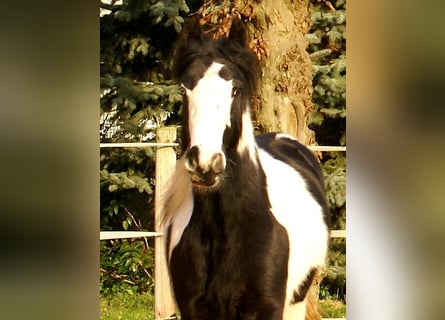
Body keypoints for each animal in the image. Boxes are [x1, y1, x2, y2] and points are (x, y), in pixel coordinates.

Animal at [160, 18, 330, 320]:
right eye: (184, 88)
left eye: (235, 90)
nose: (205, 163)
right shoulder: (193, 309)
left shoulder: (266, 308)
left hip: (296, 303)